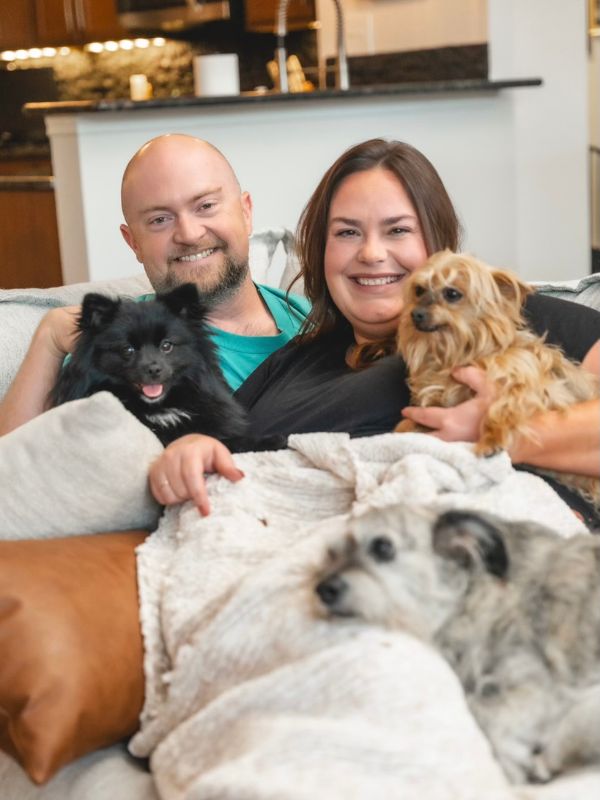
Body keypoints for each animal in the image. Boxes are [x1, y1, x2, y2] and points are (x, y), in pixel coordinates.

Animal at [314, 510, 600, 784]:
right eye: (332, 553)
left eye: (383, 547)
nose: (322, 590)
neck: (470, 596)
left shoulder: (528, 681)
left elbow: (487, 711)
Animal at [396, 250, 596, 506]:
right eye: (419, 290)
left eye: (452, 293)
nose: (415, 314)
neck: (462, 353)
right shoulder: (434, 400)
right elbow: (407, 424)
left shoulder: (527, 385)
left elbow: (500, 408)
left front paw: (491, 440)